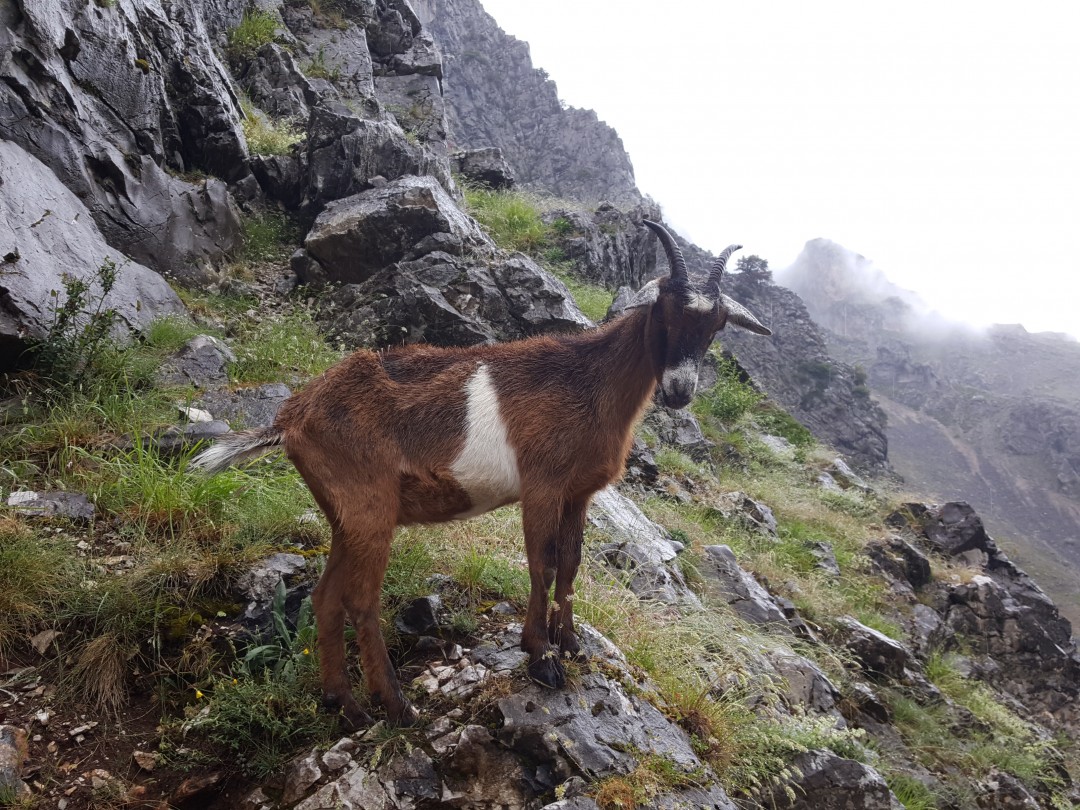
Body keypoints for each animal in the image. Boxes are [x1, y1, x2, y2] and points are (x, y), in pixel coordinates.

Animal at [191, 220, 772, 728]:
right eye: (665, 309)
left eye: (717, 325)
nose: (679, 391)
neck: (589, 381)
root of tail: (291, 418)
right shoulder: (542, 485)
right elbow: (542, 564)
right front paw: (541, 658)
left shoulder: (579, 493)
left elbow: (571, 564)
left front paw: (570, 643)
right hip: (369, 508)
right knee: (360, 599)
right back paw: (397, 707)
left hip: (344, 518)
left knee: (325, 596)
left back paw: (346, 705)